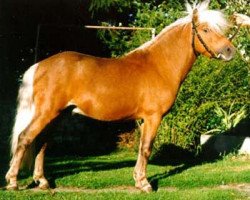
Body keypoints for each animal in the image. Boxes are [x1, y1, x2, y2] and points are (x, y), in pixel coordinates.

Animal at [5, 0, 235, 193]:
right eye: (205, 29)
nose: (230, 50)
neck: (159, 65)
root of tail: (40, 66)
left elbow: (142, 149)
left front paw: (138, 180)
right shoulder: (153, 117)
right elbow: (146, 148)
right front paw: (144, 184)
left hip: (57, 115)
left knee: (41, 143)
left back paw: (42, 181)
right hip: (47, 113)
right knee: (25, 138)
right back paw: (13, 182)